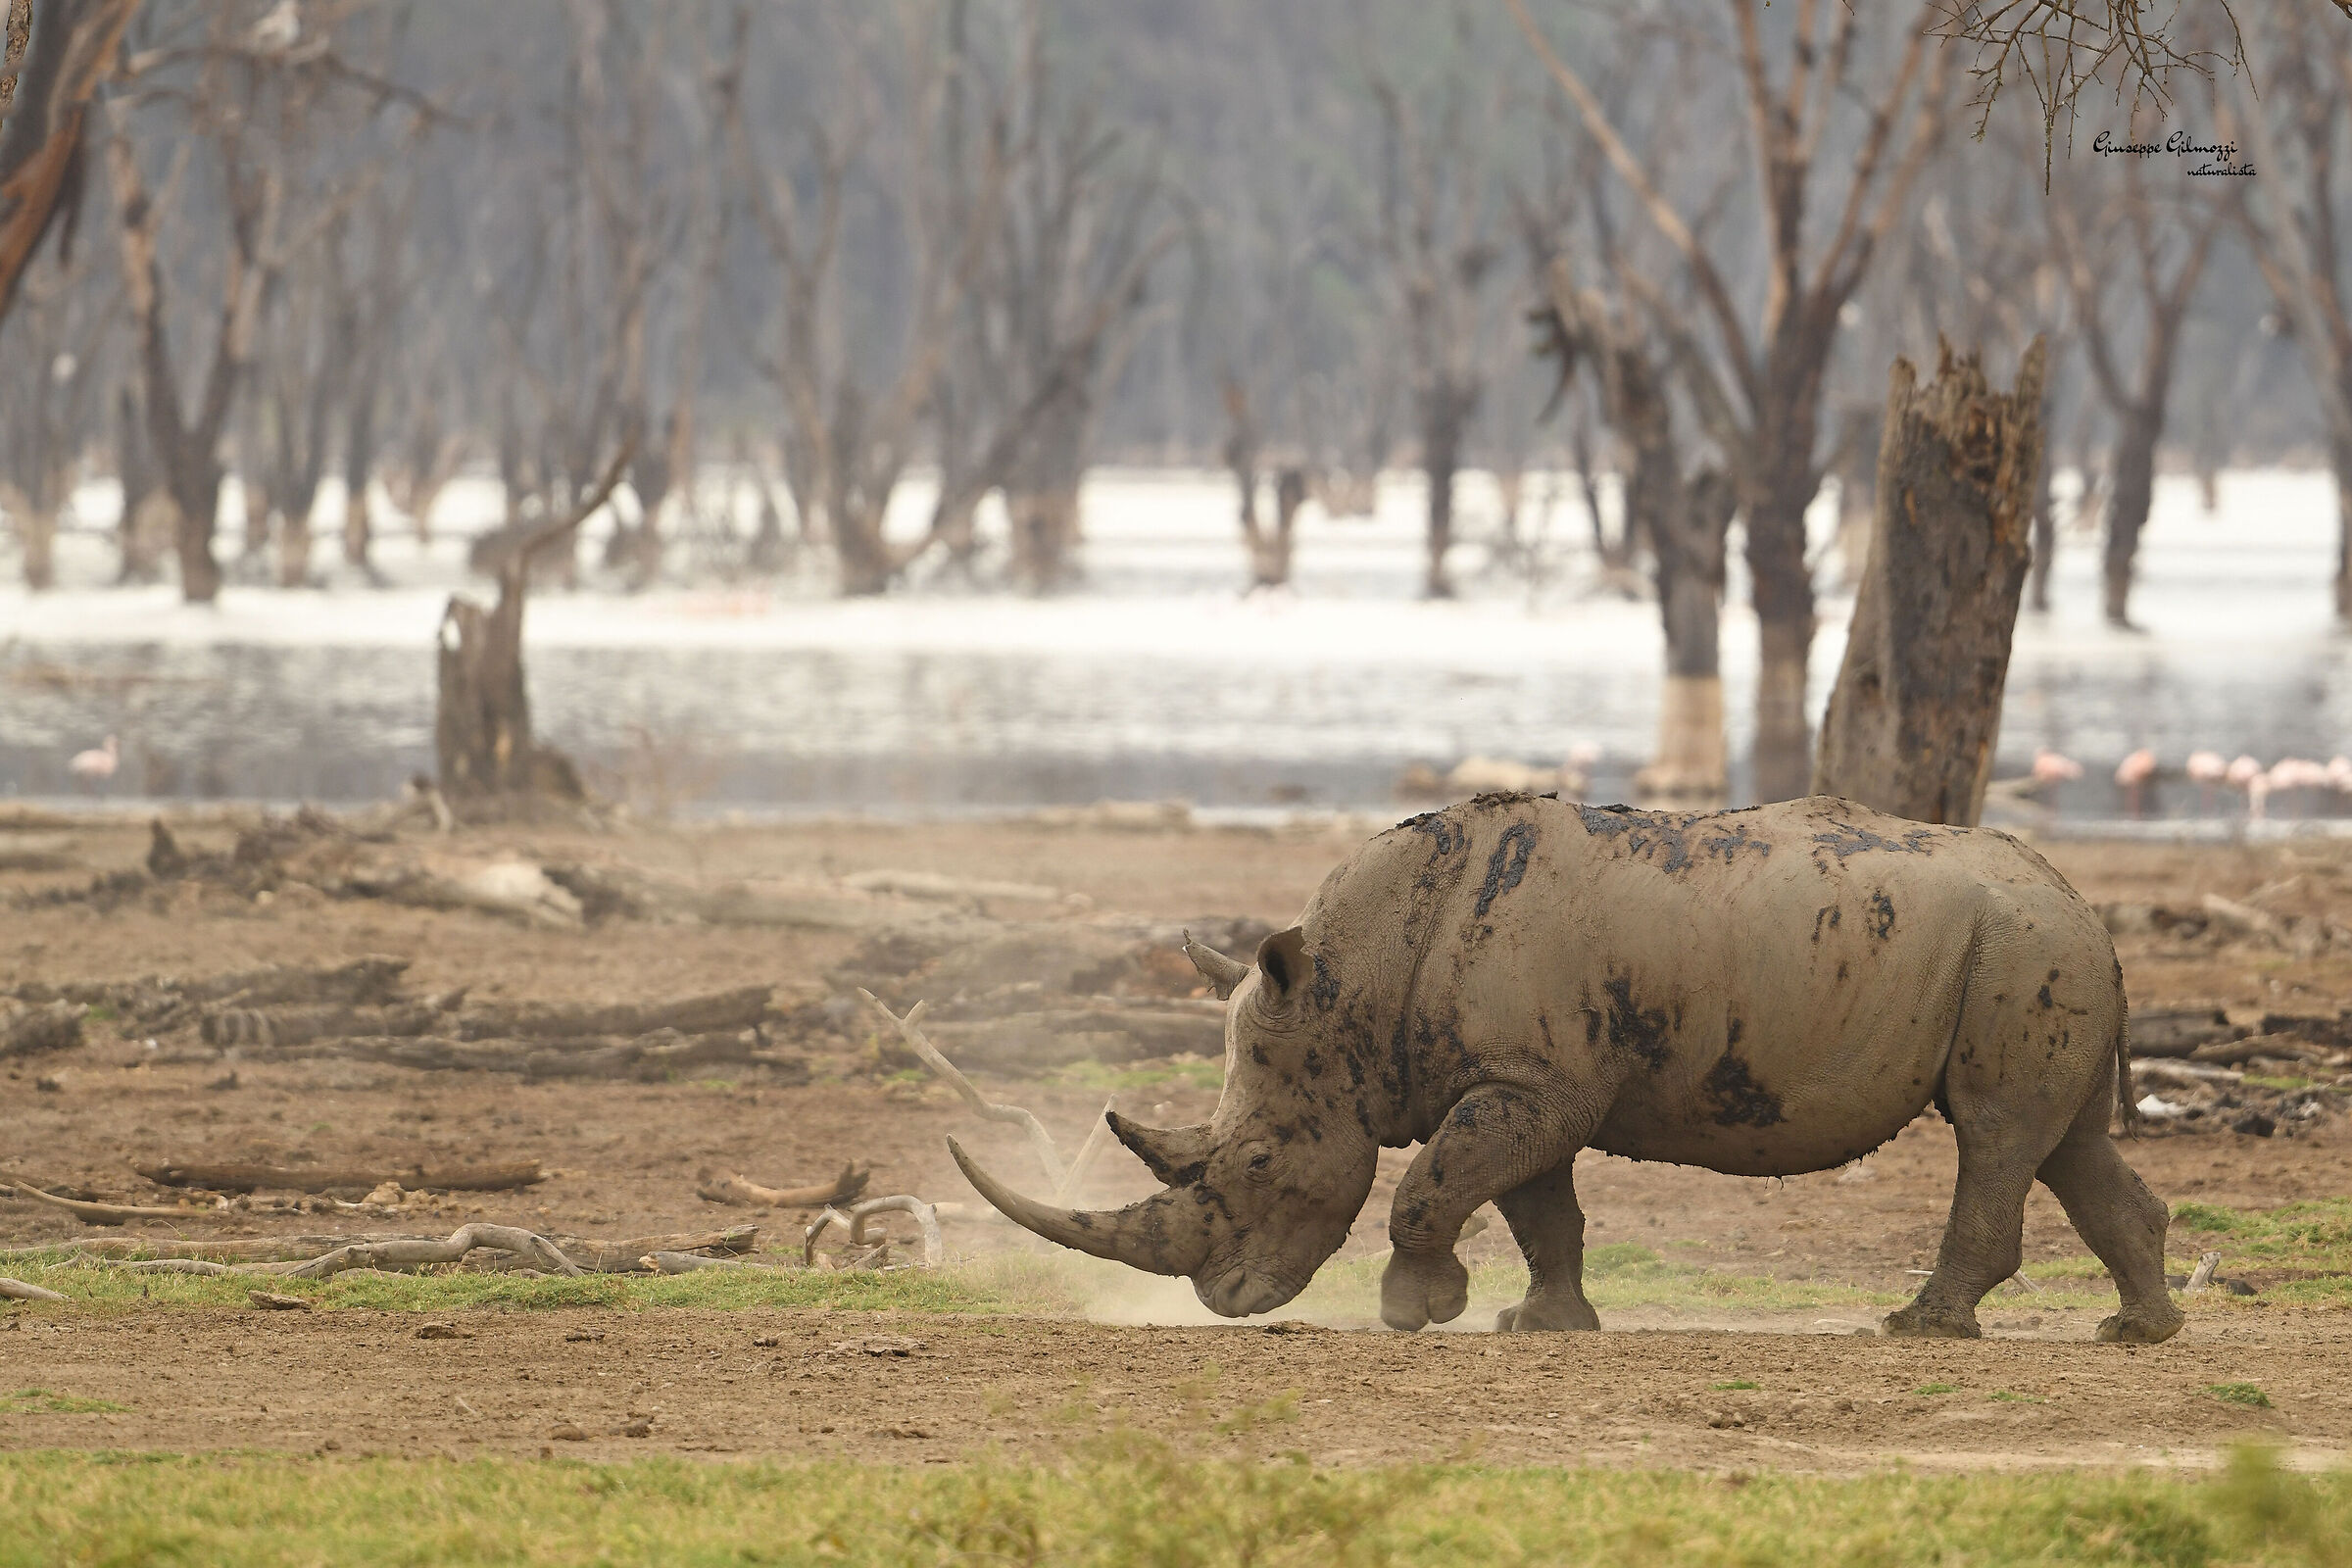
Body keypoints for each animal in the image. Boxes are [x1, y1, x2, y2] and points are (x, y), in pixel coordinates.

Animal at [951, 794, 2183, 1344]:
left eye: (1254, 1162)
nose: (1223, 1301)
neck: (1356, 984)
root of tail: (2086, 903)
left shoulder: (1529, 1084)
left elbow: (1427, 1188)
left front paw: (1416, 1314)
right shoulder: (1524, 1081)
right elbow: (1537, 1209)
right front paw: (1537, 1324)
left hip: (2019, 947)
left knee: (1995, 1133)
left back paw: (1919, 1326)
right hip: (2030, 946)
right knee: (2065, 1140)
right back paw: (2139, 1330)